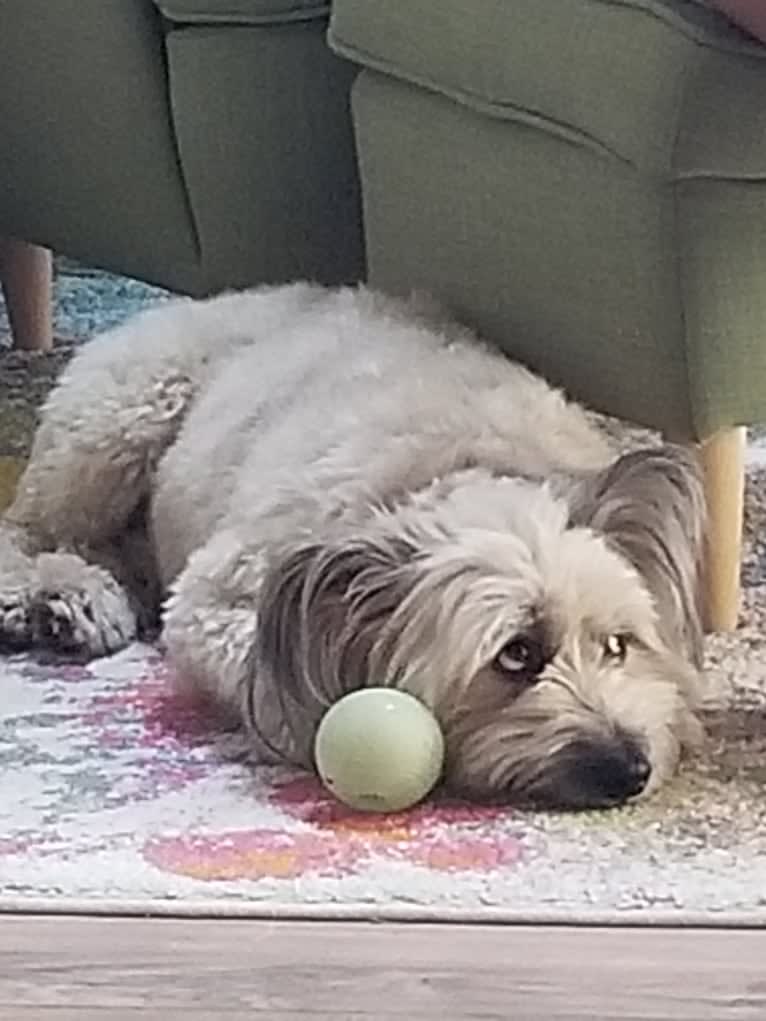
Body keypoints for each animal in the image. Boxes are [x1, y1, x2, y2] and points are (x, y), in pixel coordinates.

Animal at [0, 283, 706, 808]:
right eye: (517, 654)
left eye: (619, 645)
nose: (629, 768)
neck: (456, 468)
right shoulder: (216, 595)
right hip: (115, 427)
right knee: (32, 528)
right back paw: (60, 598)